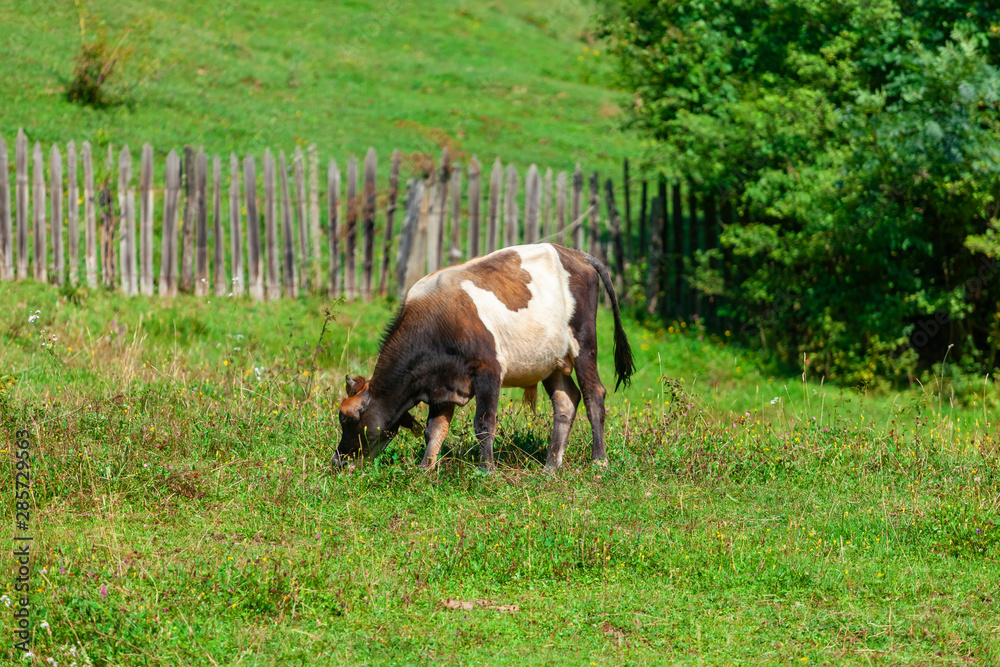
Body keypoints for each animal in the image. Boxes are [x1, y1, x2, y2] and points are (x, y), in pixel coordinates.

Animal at [333, 242, 634, 472]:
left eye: (346, 419)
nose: (338, 461)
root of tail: (575, 253)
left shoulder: (488, 371)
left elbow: (484, 424)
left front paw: (486, 470)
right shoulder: (442, 385)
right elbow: (435, 429)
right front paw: (425, 469)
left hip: (584, 344)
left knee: (594, 395)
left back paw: (599, 461)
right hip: (552, 362)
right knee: (566, 401)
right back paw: (551, 466)